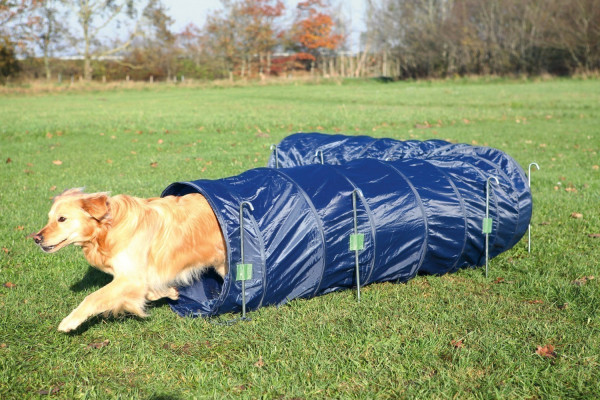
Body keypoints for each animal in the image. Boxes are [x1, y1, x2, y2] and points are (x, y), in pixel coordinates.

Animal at [32, 189, 227, 332]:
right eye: (49, 218)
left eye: (62, 219)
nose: (36, 238)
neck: (108, 229)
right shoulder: (137, 277)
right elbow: (148, 291)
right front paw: (170, 292)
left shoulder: (131, 277)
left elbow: (92, 297)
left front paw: (69, 321)